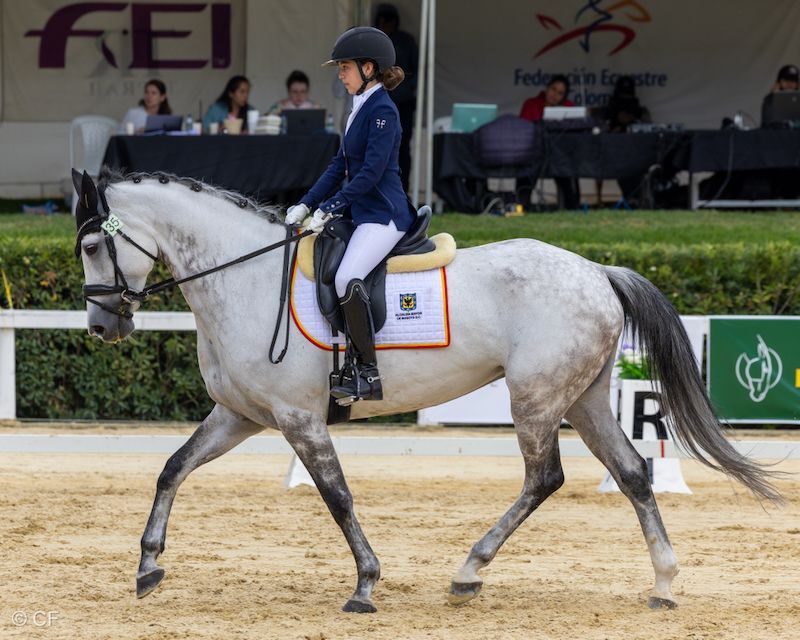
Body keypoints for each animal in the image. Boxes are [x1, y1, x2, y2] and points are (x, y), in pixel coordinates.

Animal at [72, 169, 780, 614]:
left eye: (91, 244)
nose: (103, 326)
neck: (243, 278)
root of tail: (597, 271)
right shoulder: (240, 415)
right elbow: (172, 468)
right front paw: (147, 567)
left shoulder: (300, 419)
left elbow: (337, 497)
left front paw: (365, 585)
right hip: (581, 397)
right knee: (633, 473)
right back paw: (663, 583)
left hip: (536, 399)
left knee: (544, 477)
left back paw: (470, 570)